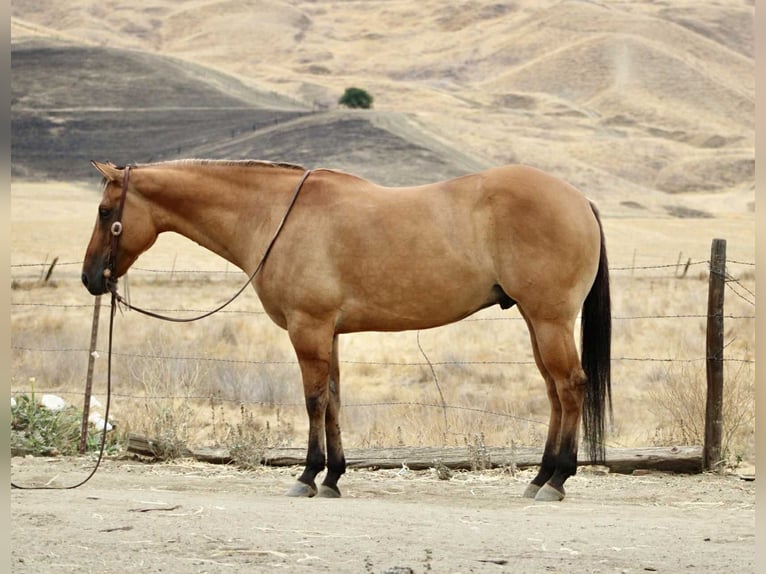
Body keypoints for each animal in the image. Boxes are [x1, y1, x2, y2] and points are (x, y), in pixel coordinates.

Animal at [82, 159, 611, 502]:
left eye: (106, 213)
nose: (91, 279)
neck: (276, 215)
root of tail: (580, 200)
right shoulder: (328, 334)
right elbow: (334, 399)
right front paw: (333, 477)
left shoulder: (308, 329)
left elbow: (314, 400)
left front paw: (307, 475)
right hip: (535, 322)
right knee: (554, 392)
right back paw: (540, 477)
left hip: (549, 320)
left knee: (570, 387)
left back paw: (557, 481)